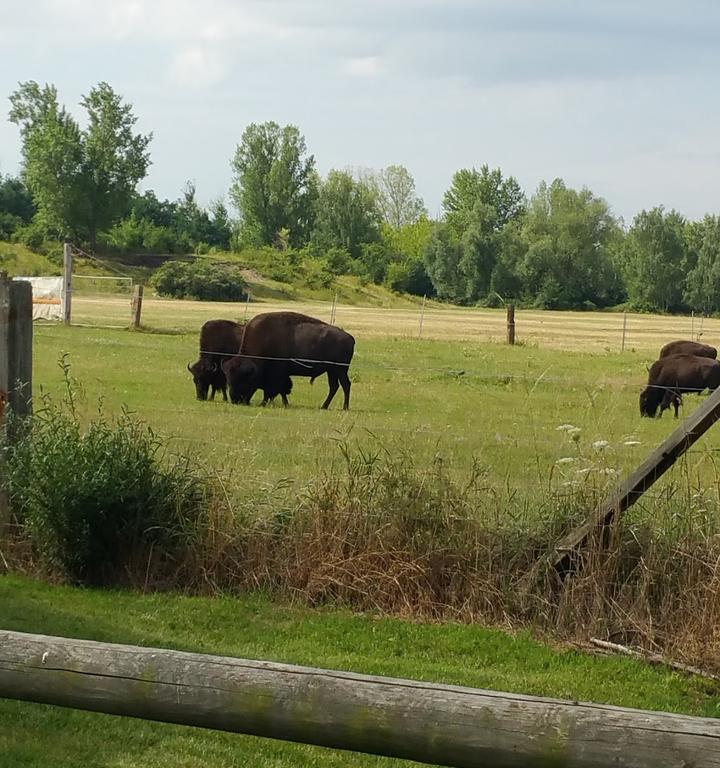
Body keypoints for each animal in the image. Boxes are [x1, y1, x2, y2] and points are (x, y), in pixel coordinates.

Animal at [221, 310, 352, 412]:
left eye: (243, 379)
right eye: (229, 380)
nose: (235, 400)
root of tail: (350, 338)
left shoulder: (276, 374)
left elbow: (272, 390)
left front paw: (263, 403)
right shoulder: (282, 375)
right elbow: (281, 390)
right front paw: (285, 403)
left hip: (340, 369)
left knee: (345, 385)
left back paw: (344, 407)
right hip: (332, 371)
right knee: (334, 386)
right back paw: (324, 406)